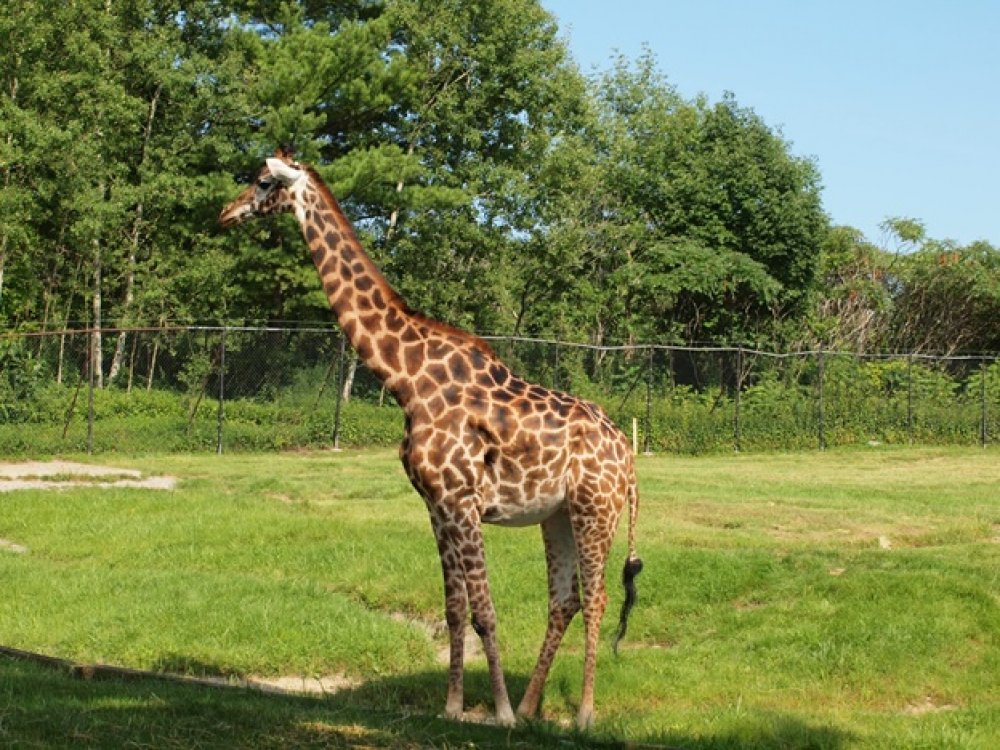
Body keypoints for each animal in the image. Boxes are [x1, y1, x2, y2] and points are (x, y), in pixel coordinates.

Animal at [218, 150, 640, 732]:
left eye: (262, 182)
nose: (225, 213)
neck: (406, 380)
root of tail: (627, 454)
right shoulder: (436, 505)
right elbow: (455, 609)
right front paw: (454, 707)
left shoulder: (462, 501)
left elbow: (485, 610)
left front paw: (498, 713)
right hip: (557, 515)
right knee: (565, 601)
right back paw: (532, 707)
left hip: (596, 510)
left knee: (596, 598)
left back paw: (581, 715)